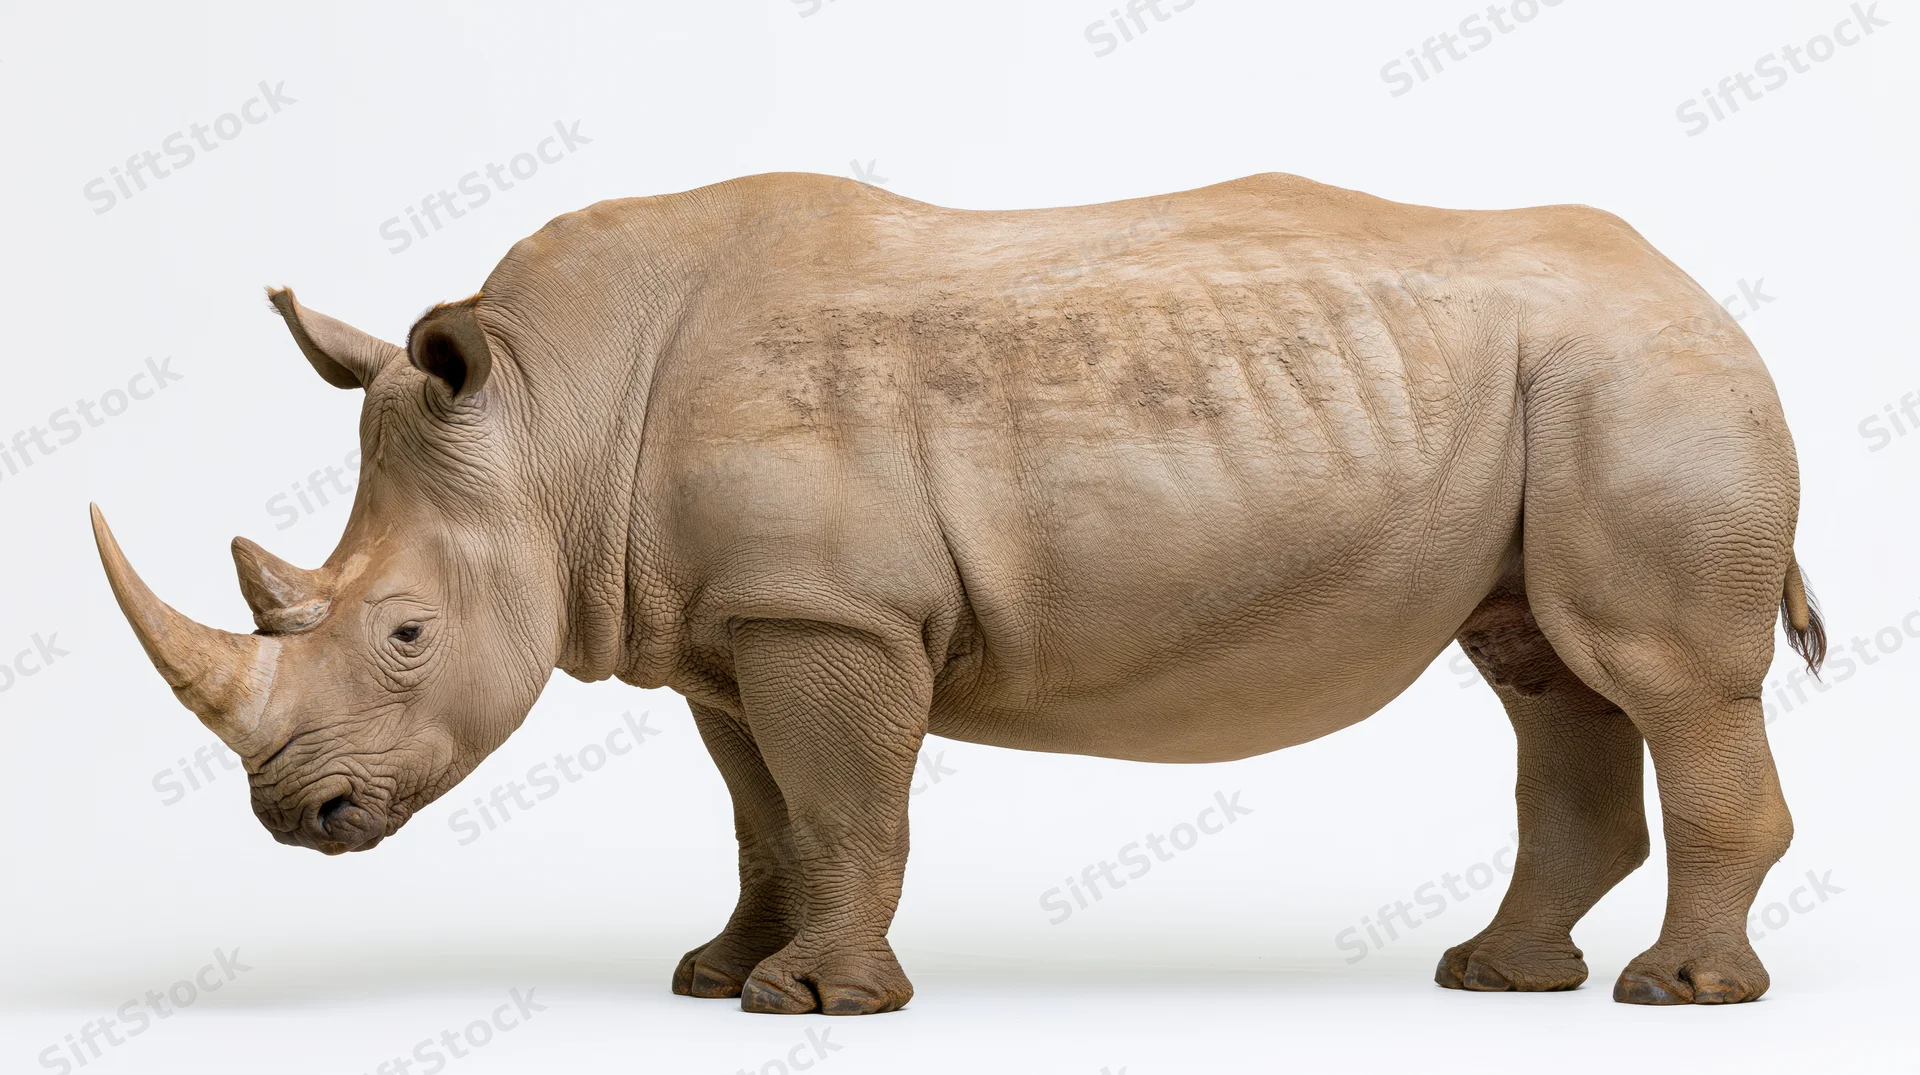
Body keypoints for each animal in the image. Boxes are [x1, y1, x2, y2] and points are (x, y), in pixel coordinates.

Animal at [93, 172, 1824, 1015]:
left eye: (404, 635)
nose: (299, 818)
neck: (555, 416)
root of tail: (1704, 291)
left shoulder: (831, 614)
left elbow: (846, 802)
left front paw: (814, 1003)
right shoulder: (733, 623)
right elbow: (767, 814)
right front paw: (716, 974)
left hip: (1647, 383)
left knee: (1662, 672)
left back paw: (1676, 995)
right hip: (1573, 387)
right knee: (1549, 674)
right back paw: (1497, 977)